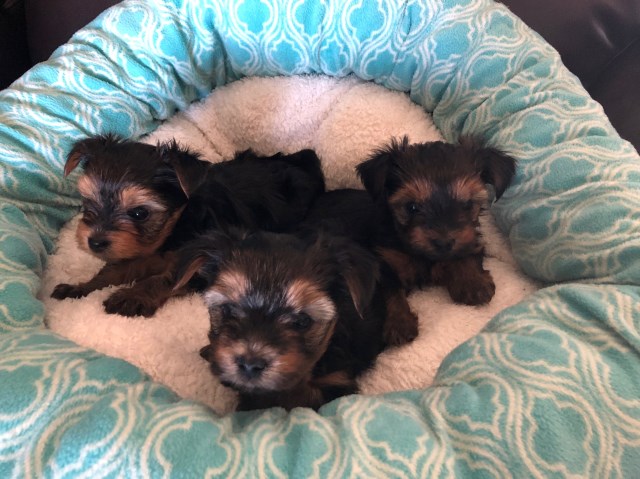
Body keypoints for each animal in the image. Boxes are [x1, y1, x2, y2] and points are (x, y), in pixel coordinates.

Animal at [51, 133, 324, 316]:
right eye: (88, 202)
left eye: (139, 213)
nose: (95, 242)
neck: (173, 231)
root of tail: (301, 160)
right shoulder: (134, 251)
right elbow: (113, 271)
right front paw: (81, 288)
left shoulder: (202, 264)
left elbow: (166, 279)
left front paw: (132, 296)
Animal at [358, 137, 516, 346]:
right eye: (412, 207)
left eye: (467, 204)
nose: (443, 242)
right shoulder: (386, 258)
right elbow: (390, 290)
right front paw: (399, 323)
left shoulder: (470, 240)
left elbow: (467, 255)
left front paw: (473, 283)